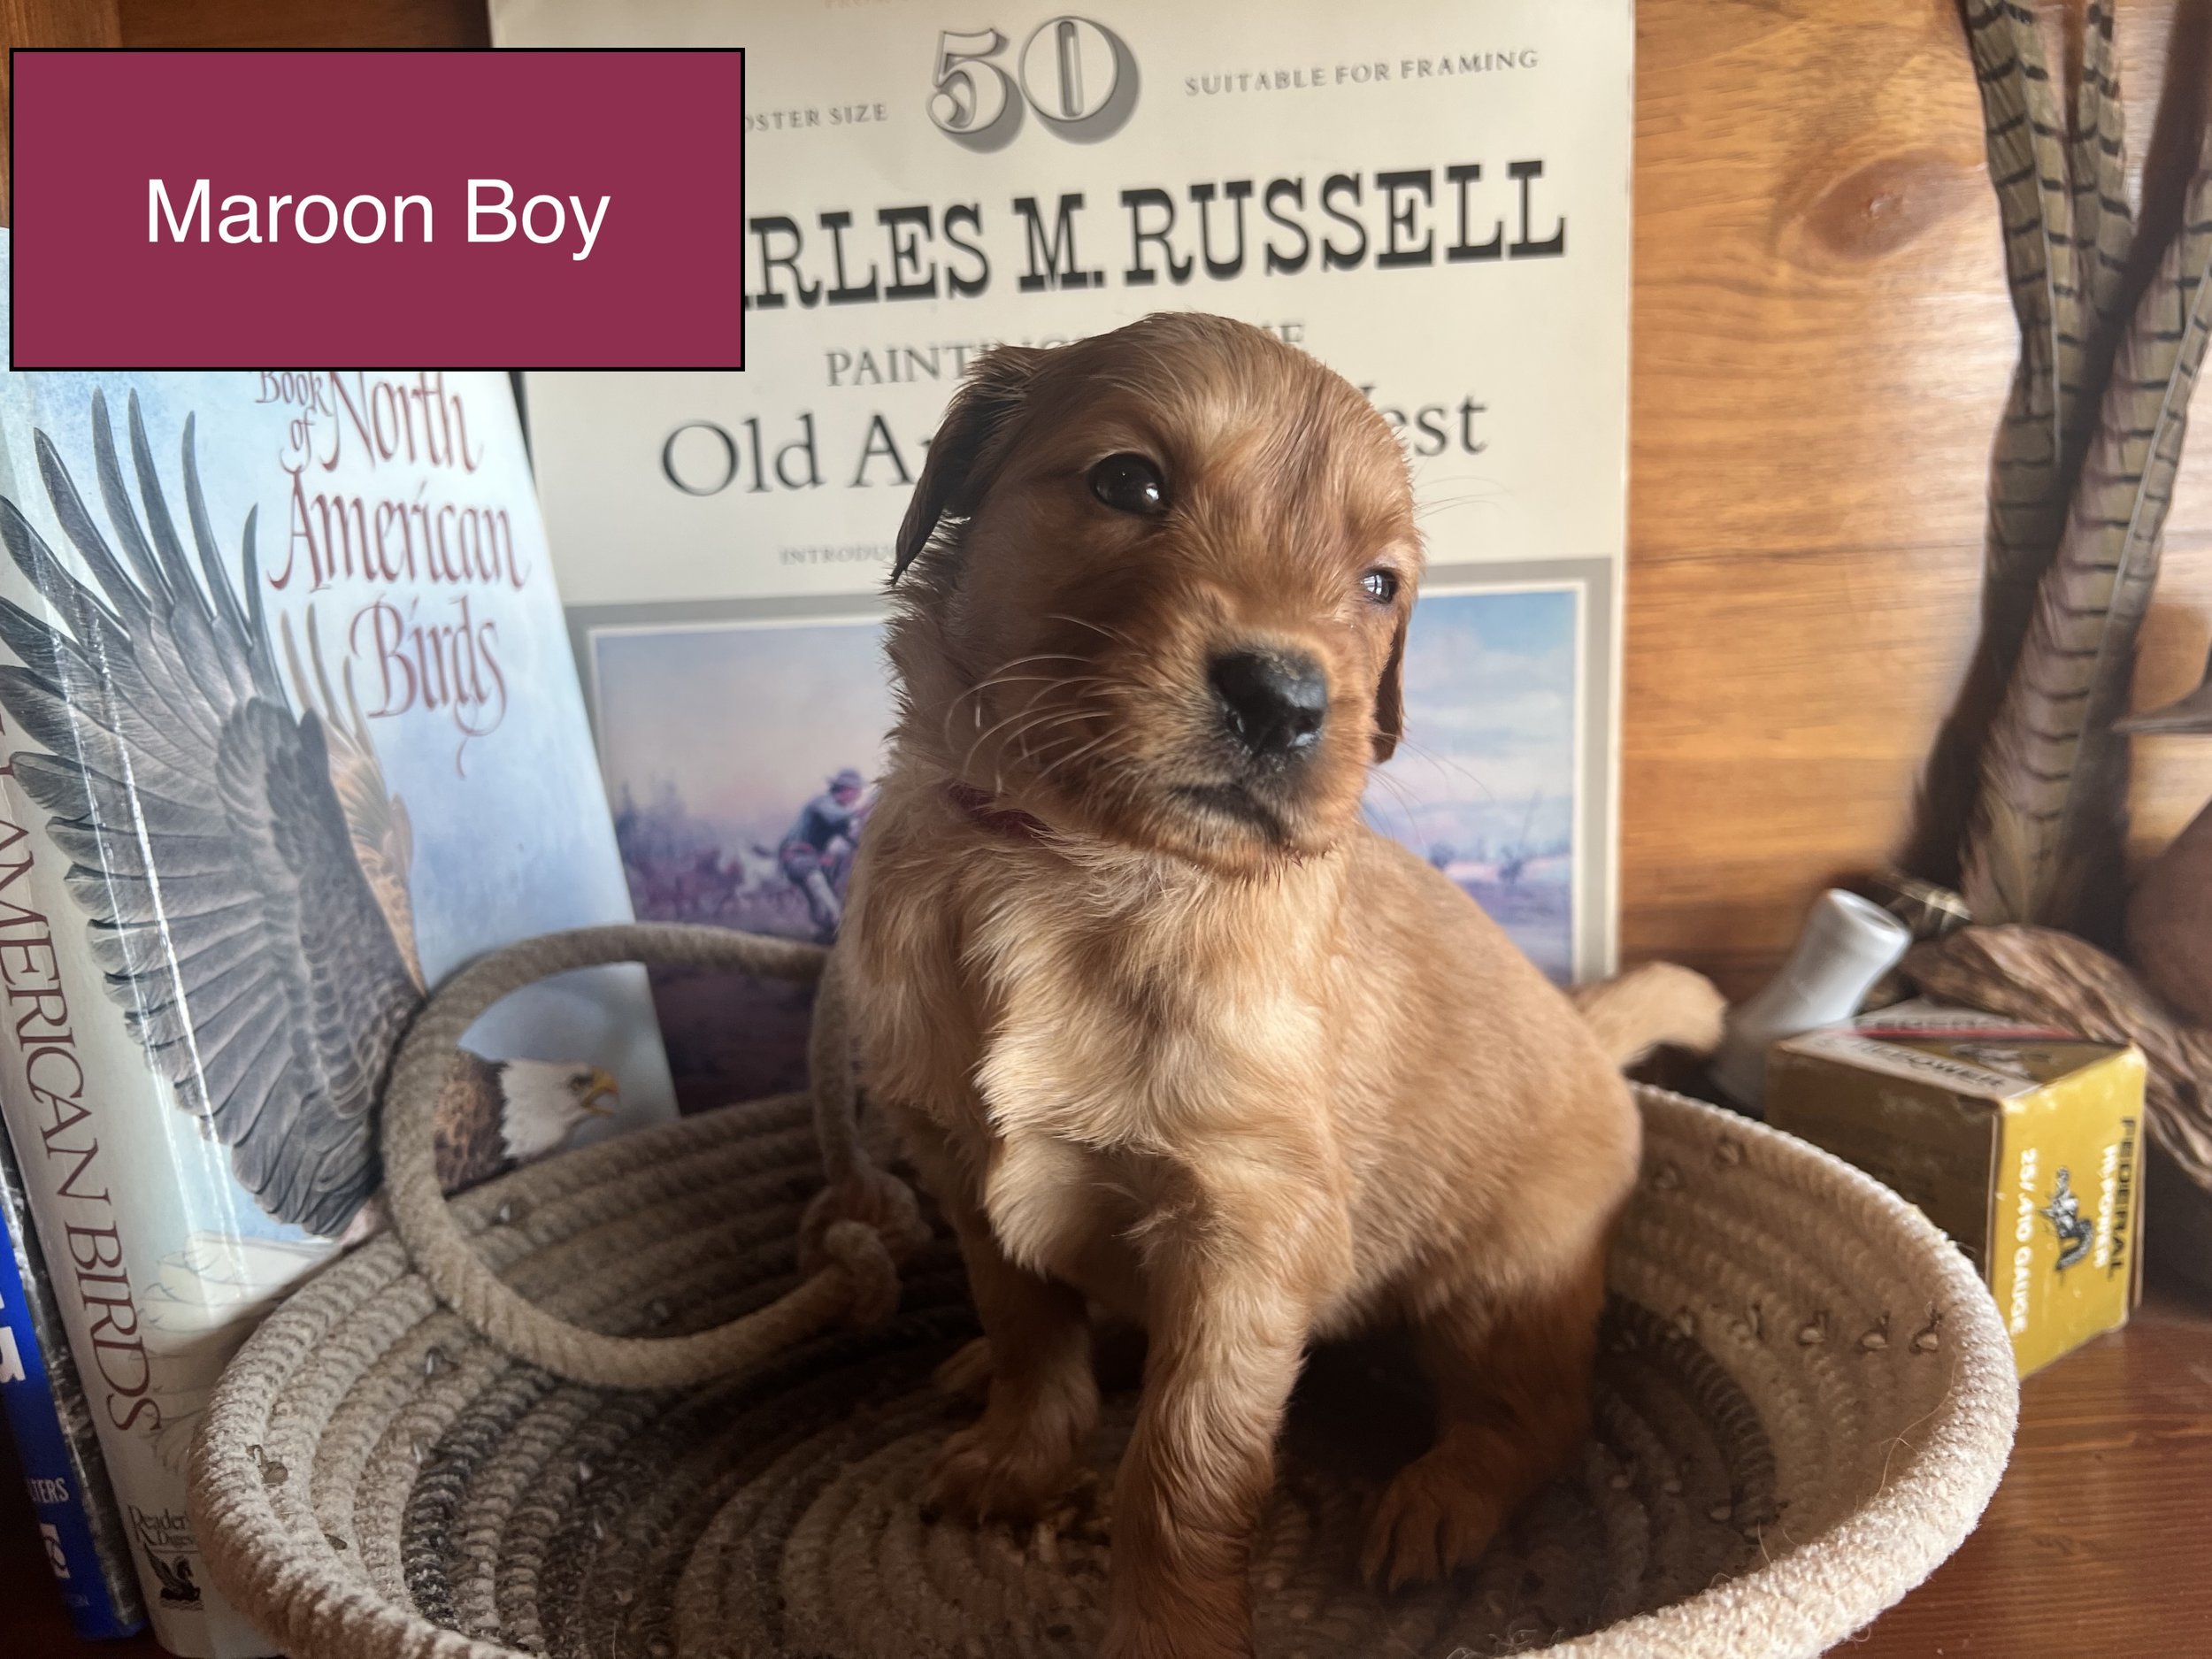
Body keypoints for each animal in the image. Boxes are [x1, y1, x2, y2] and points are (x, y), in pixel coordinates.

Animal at [841, 312, 1723, 1659]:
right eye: (1130, 484)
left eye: (1379, 584)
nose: (1285, 697)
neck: (1070, 869)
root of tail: (1585, 1026)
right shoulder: (960, 1162)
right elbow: (1025, 1324)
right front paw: (1013, 1457)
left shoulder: (1248, 1227)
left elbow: (1180, 1469)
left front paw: (1169, 1634)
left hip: (1495, 1279)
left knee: (1538, 1415)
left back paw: (1443, 1498)